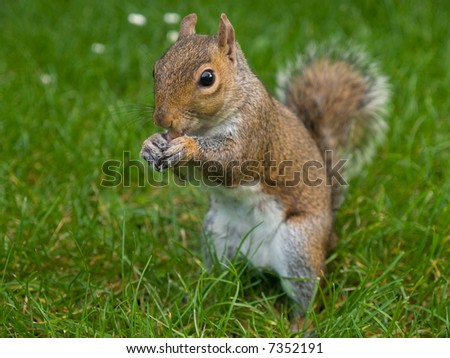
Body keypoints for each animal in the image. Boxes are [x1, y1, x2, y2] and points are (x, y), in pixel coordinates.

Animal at [141, 13, 390, 314]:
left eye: (207, 78)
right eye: (156, 68)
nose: (161, 118)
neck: (206, 127)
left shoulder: (255, 132)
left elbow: (232, 162)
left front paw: (187, 147)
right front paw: (151, 144)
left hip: (299, 245)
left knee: (307, 293)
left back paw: (300, 321)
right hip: (217, 235)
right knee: (219, 274)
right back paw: (202, 295)